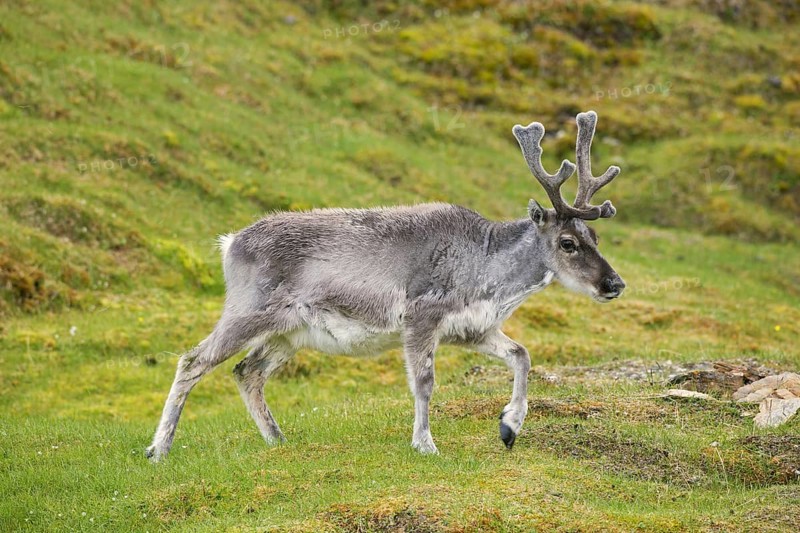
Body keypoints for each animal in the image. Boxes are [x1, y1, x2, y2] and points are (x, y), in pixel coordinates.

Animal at [145, 110, 626, 461]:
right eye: (567, 242)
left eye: (595, 237)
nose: (615, 283)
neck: (488, 274)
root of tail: (229, 243)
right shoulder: (420, 316)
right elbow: (424, 382)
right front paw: (425, 444)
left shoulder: (474, 329)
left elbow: (522, 356)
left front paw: (509, 427)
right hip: (248, 311)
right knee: (193, 360)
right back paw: (158, 449)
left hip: (289, 333)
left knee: (246, 372)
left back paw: (278, 439)